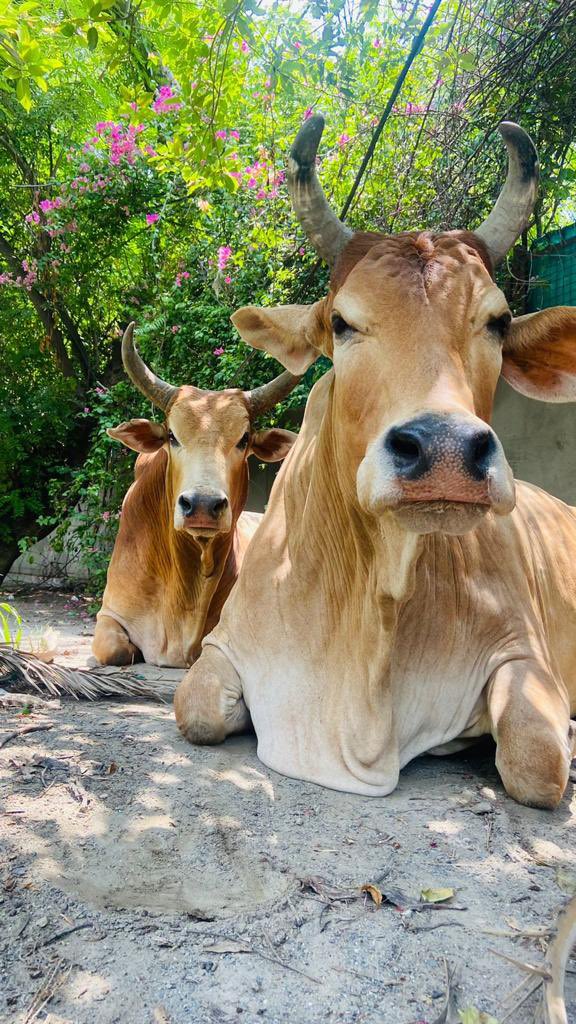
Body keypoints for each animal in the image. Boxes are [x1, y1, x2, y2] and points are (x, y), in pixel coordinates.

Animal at [174, 116, 576, 809]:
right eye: (341, 322)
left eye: (498, 321)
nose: (445, 451)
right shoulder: (226, 644)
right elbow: (195, 707)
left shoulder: (522, 652)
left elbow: (537, 761)